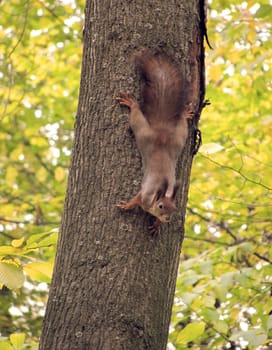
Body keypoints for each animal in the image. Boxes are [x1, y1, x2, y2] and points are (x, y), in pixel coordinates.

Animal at [116, 48, 190, 235]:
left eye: (175, 208)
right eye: (161, 206)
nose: (168, 218)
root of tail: (161, 132)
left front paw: (157, 225)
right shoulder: (145, 195)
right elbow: (136, 199)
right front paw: (127, 206)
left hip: (178, 140)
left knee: (182, 125)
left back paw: (185, 115)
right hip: (143, 132)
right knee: (136, 115)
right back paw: (131, 102)